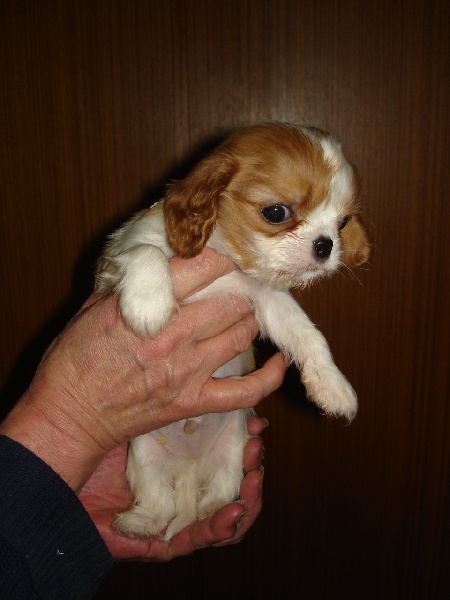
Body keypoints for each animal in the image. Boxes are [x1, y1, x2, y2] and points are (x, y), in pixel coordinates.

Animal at [96, 122, 370, 540]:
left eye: (342, 223)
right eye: (276, 212)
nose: (326, 245)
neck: (224, 254)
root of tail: (188, 471)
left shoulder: (268, 299)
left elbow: (309, 336)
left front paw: (334, 387)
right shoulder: (118, 256)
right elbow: (148, 252)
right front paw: (147, 305)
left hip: (235, 444)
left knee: (220, 488)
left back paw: (221, 511)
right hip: (142, 453)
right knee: (159, 502)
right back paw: (140, 522)